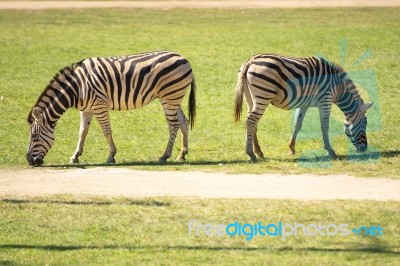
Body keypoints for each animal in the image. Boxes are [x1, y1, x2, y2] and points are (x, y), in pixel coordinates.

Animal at [27, 50, 196, 165]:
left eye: (34, 136)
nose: (29, 161)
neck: (77, 87)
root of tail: (184, 58)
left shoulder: (99, 106)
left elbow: (106, 132)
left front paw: (111, 156)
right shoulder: (86, 109)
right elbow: (82, 133)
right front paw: (75, 156)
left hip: (169, 97)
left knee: (173, 125)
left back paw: (165, 155)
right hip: (173, 97)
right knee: (184, 122)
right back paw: (182, 153)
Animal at [233, 53, 374, 162]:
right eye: (365, 124)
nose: (364, 149)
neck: (337, 87)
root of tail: (250, 60)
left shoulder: (304, 104)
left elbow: (297, 124)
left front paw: (291, 148)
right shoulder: (325, 99)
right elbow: (324, 126)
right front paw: (330, 151)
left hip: (251, 98)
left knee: (253, 123)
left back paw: (259, 152)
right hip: (263, 95)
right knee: (251, 121)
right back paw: (251, 154)